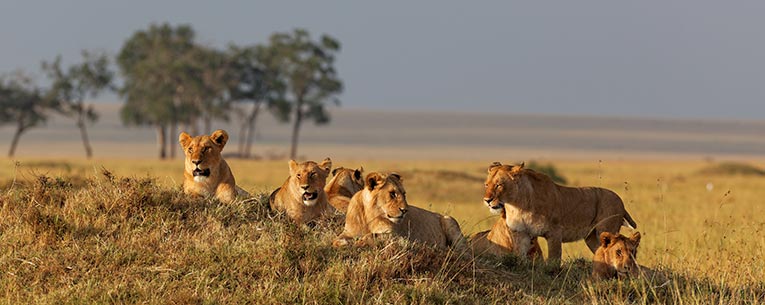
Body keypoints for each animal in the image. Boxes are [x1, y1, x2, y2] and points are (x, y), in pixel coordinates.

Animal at [332, 171, 466, 249]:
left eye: (404, 194)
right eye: (392, 194)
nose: (405, 210)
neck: (369, 216)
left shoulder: (396, 236)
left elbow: (371, 235)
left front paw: (359, 242)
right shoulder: (348, 232)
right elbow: (336, 240)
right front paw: (343, 243)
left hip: (449, 221)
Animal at [484, 162, 640, 264]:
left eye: (499, 185)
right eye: (486, 185)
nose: (487, 200)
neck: (518, 205)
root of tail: (620, 200)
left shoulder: (554, 232)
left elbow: (553, 260)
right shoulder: (520, 233)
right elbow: (519, 256)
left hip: (606, 230)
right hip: (591, 238)